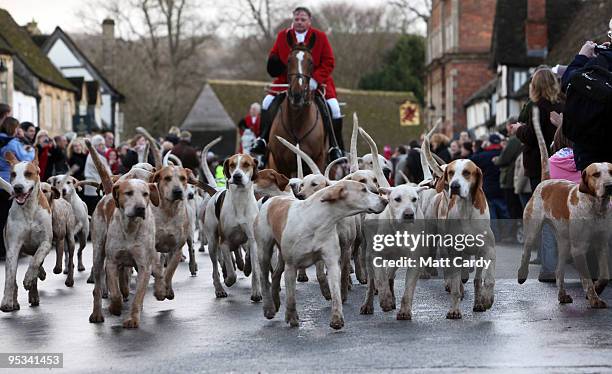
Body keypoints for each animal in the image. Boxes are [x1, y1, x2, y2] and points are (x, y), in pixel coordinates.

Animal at [266, 36, 328, 178]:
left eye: (311, 62)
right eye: (289, 60)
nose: (297, 94)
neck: (297, 122)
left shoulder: (317, 161)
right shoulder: (280, 164)